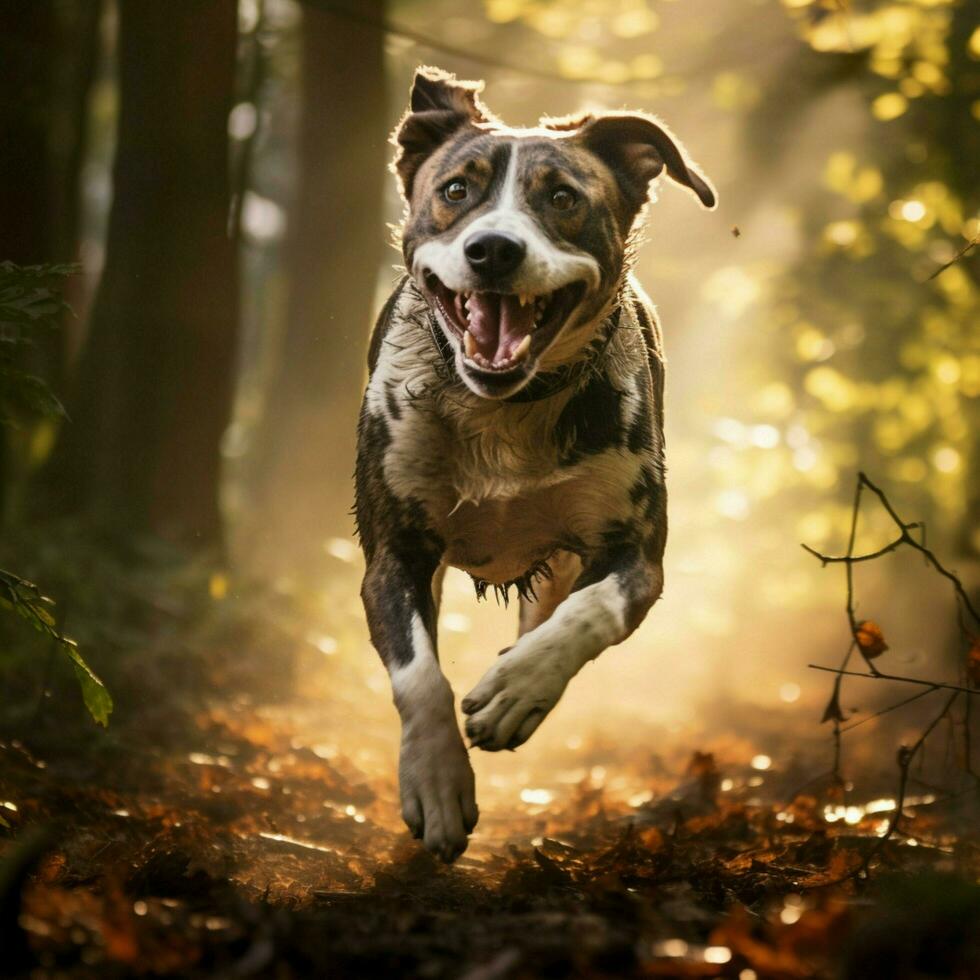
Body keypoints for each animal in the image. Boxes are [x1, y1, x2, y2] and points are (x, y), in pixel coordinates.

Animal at [356, 69, 716, 860]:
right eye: (456, 189)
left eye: (563, 198)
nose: (493, 249)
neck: (503, 414)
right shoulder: (394, 550)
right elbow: (419, 674)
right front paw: (437, 783)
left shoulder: (637, 552)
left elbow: (592, 609)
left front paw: (517, 688)